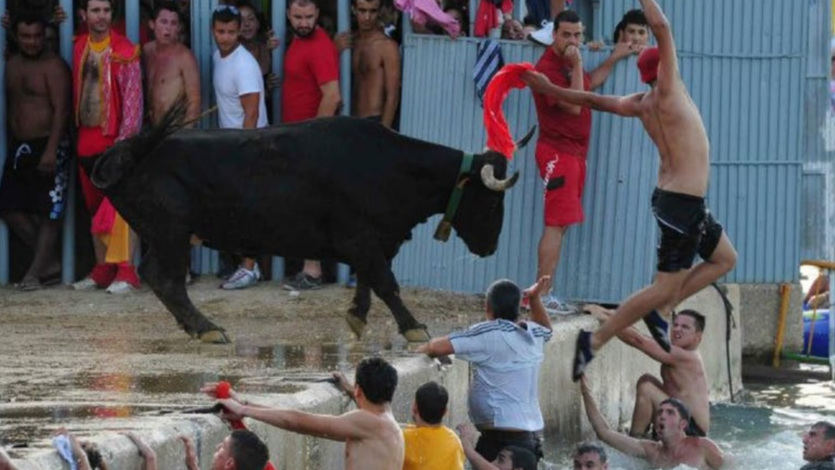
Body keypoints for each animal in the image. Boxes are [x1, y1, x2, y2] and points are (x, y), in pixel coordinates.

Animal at [91, 103, 536, 344]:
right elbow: (386, 283)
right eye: (491, 200)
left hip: (163, 233)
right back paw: (208, 328)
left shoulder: (372, 243)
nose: (489, 247)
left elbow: (368, 282)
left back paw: (196, 327)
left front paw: (357, 316)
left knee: (157, 276)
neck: (392, 165)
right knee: (166, 279)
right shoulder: (362, 239)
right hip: (172, 231)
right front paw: (413, 328)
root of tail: (129, 152)